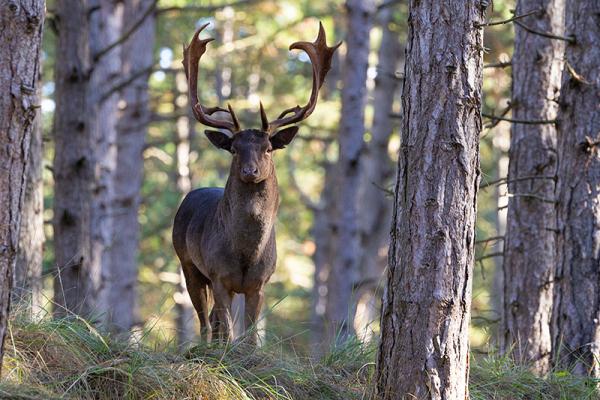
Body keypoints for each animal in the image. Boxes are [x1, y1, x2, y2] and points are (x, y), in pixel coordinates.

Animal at [171, 21, 340, 344]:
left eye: (268, 148)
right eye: (235, 149)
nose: (250, 171)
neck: (246, 254)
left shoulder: (260, 282)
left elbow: (250, 334)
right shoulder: (218, 274)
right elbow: (227, 327)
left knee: (212, 320)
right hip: (187, 262)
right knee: (205, 320)